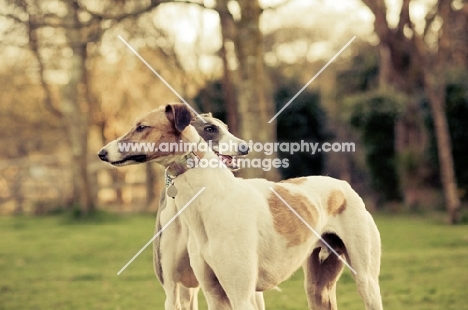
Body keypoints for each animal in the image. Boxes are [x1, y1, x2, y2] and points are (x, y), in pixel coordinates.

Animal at [98, 104, 384, 310]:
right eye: (210, 129)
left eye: (142, 127)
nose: (101, 152)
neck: (209, 200)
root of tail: (342, 184)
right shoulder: (212, 294)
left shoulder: (241, 295)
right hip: (318, 288)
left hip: (366, 281)